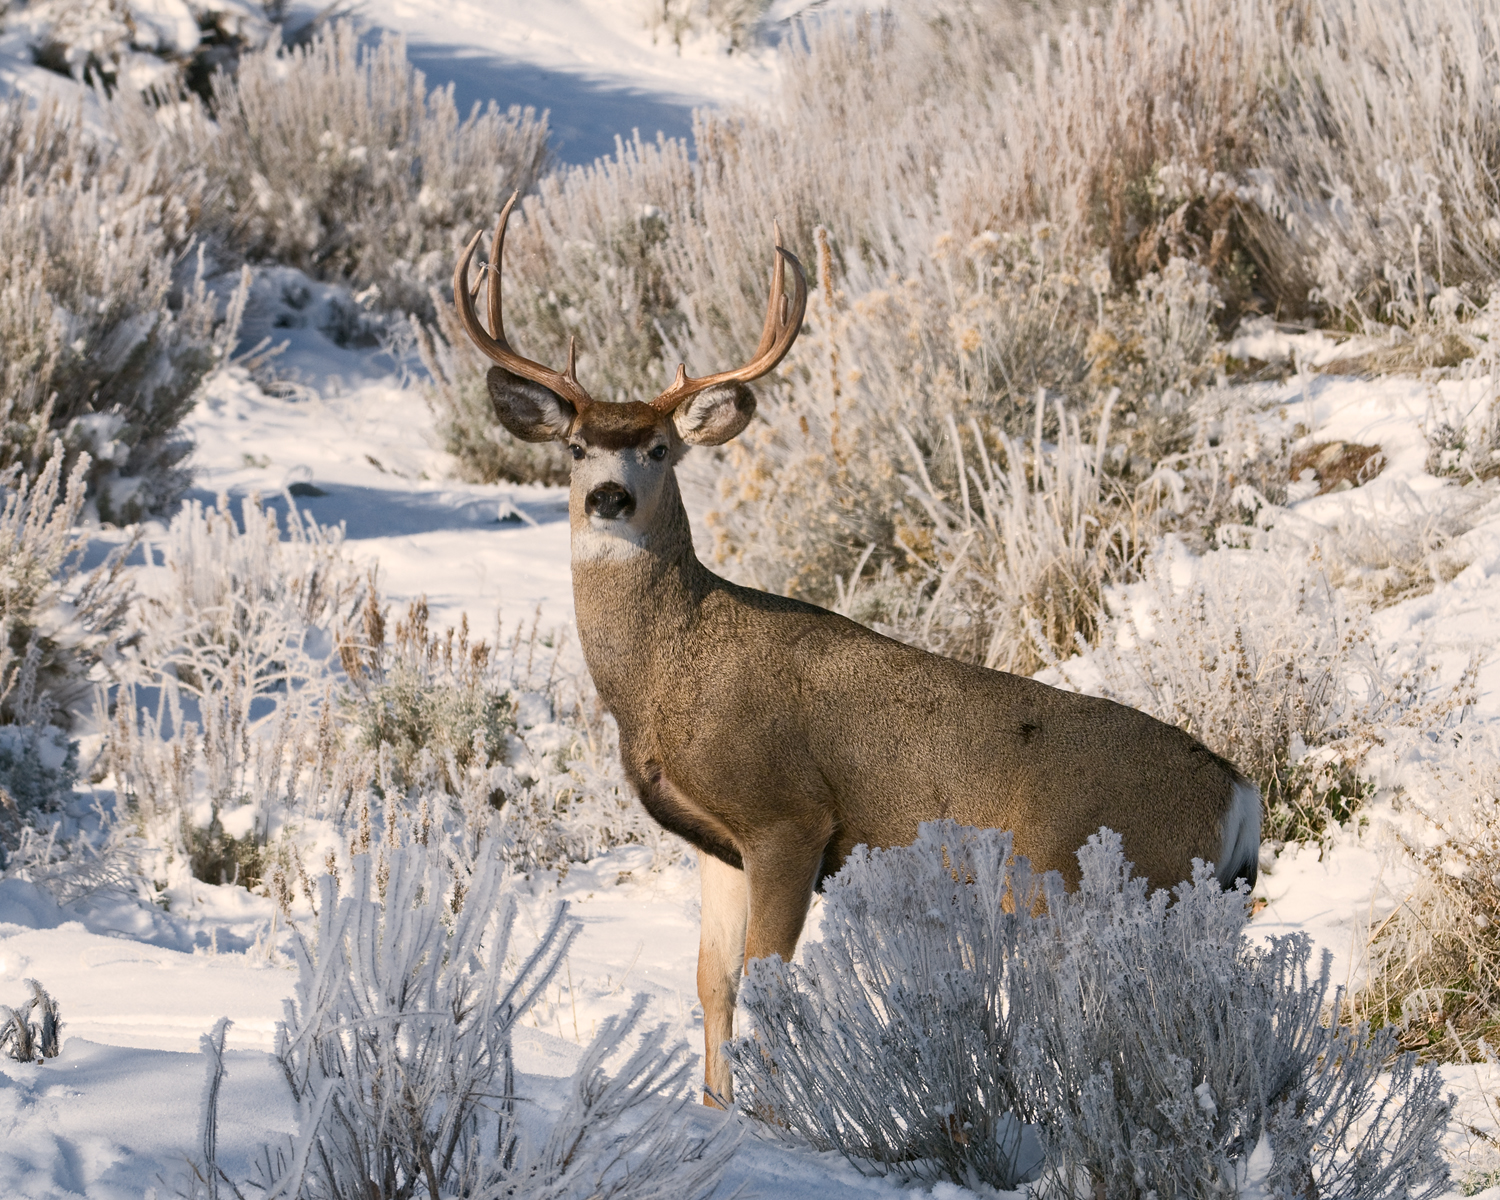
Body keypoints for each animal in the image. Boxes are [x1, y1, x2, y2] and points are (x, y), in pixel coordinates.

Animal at [450, 195, 1260, 1104]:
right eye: (575, 446)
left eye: (660, 448)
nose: (608, 498)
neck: (668, 672)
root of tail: (1238, 794)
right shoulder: (717, 842)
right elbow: (712, 981)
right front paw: (715, 1109)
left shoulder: (789, 814)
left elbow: (770, 982)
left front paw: (773, 1117)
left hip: (1107, 883)